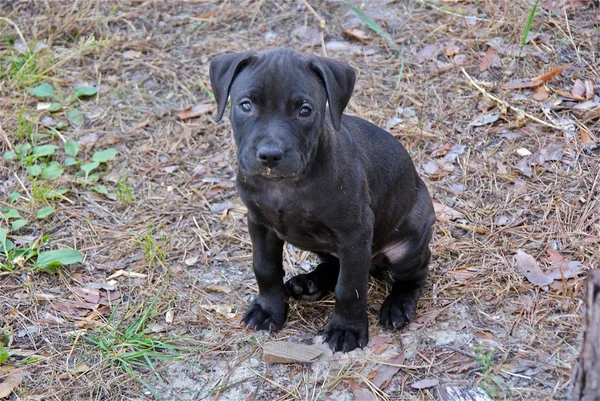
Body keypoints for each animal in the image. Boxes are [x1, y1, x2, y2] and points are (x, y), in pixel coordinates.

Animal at [209, 48, 434, 352]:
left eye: (305, 110)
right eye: (245, 105)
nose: (269, 154)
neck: (286, 186)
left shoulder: (354, 233)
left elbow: (350, 286)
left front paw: (346, 329)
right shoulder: (259, 223)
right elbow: (264, 267)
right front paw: (268, 309)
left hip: (408, 242)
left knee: (414, 273)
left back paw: (398, 304)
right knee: (334, 264)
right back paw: (310, 283)